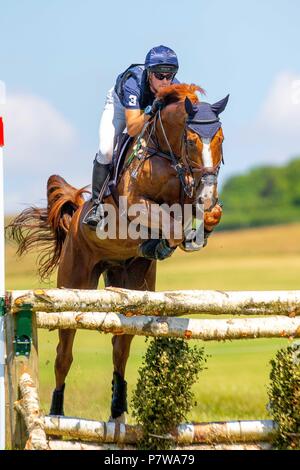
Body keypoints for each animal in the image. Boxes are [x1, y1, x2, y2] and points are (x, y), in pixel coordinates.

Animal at [8, 82, 230, 420]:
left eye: (220, 139)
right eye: (191, 140)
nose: (207, 192)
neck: (167, 156)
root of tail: (74, 215)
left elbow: (203, 215)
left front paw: (189, 233)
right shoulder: (135, 205)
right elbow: (169, 220)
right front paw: (169, 239)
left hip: (129, 282)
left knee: (120, 347)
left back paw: (117, 408)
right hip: (75, 283)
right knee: (64, 354)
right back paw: (57, 412)